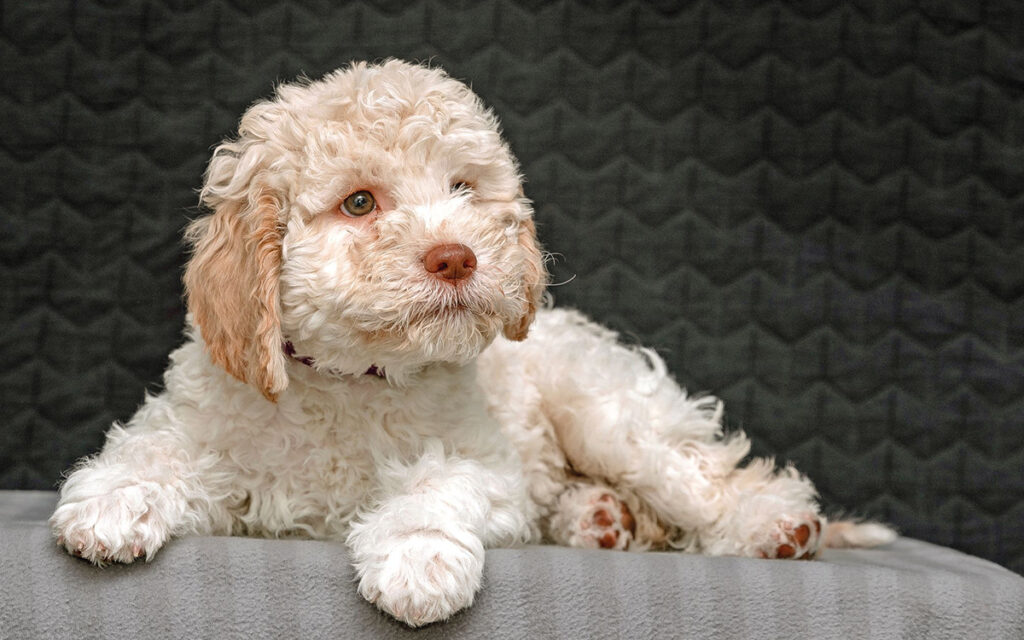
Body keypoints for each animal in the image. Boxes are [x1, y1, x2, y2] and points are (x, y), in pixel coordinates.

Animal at [49, 58, 897, 622]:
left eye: (462, 187)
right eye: (360, 202)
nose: (457, 256)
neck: (352, 378)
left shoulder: (491, 468)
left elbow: (438, 486)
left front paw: (416, 557)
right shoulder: (211, 435)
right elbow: (155, 452)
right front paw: (113, 500)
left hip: (607, 411)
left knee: (706, 475)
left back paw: (770, 525)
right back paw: (600, 520)